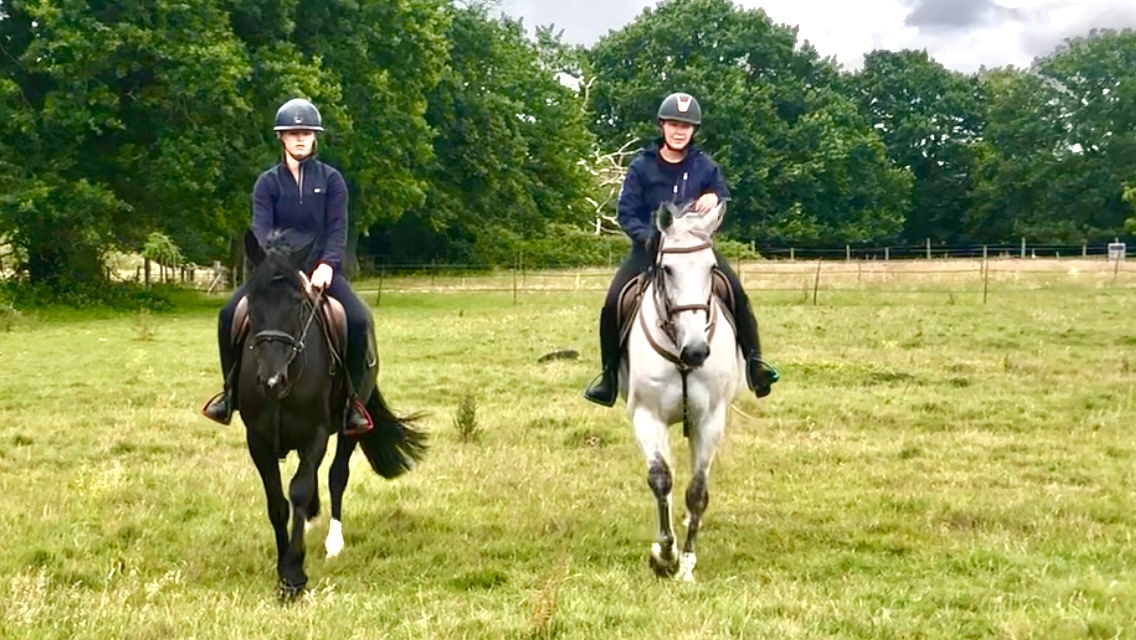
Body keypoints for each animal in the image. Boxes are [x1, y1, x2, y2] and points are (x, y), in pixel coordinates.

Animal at [236, 229, 426, 598]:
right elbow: (277, 501)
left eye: (298, 303)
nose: (272, 380)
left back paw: (333, 542)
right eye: (252, 299)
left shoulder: (316, 435)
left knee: (337, 475)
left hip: (350, 426)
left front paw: (293, 574)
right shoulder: (258, 440)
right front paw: (284, 567)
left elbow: (298, 490)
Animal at [621, 201, 744, 582]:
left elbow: (697, 491)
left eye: (712, 268)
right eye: (667, 268)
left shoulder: (711, 420)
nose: (697, 352)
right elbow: (661, 480)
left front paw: (687, 562)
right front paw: (664, 554)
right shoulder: (647, 417)